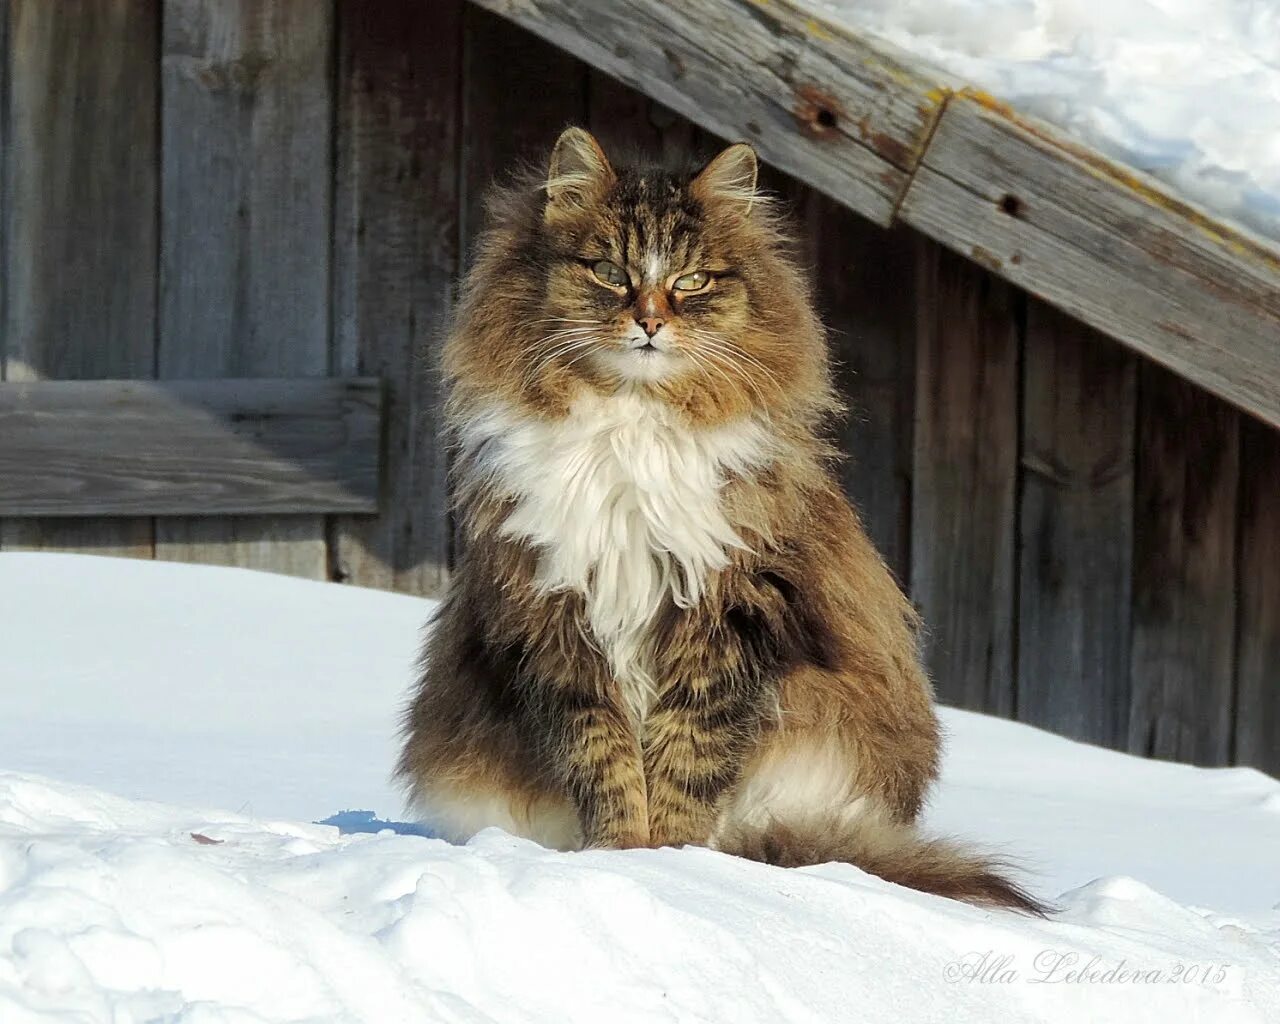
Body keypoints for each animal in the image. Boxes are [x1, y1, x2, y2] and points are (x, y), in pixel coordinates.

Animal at [399, 124, 1039, 916]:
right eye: (609, 271)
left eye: (694, 281)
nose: (649, 321)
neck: (633, 426)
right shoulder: (553, 613)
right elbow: (604, 759)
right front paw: (618, 857)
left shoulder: (731, 610)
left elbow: (686, 759)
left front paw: (674, 863)